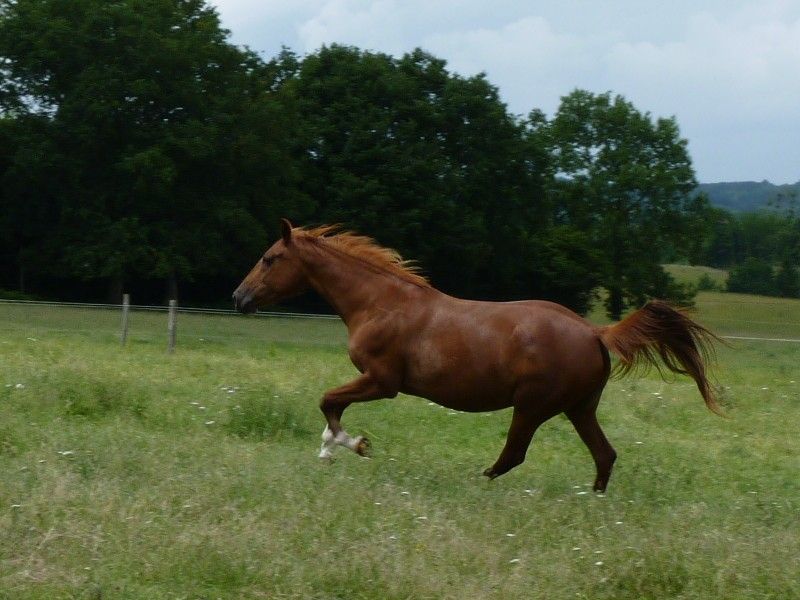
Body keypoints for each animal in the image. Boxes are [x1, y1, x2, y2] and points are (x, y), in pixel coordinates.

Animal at [233, 219, 721, 492]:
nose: (238, 297)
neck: (379, 303)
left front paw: (348, 446)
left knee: (514, 455)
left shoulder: (382, 381)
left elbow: (328, 401)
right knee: (605, 455)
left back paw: (476, 483)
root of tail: (594, 331)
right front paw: (333, 449)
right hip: (579, 408)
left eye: (269, 258)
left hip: (533, 406)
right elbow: (329, 404)